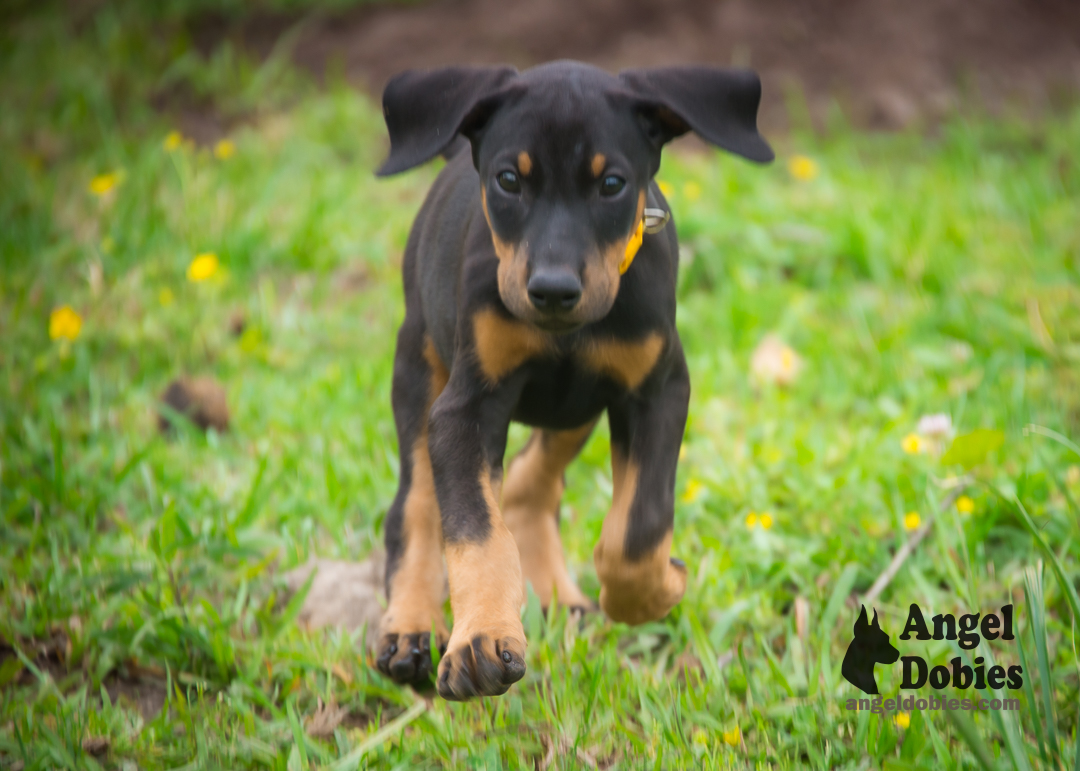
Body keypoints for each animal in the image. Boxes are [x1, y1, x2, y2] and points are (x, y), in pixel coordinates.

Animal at [375, 61, 773, 695]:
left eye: (611, 184)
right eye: (508, 180)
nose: (553, 290)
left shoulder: (657, 390)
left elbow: (638, 528)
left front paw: (651, 593)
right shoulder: (465, 408)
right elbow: (475, 531)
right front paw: (481, 639)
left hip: (575, 408)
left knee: (529, 483)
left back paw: (560, 597)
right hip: (420, 364)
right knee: (415, 505)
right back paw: (410, 626)